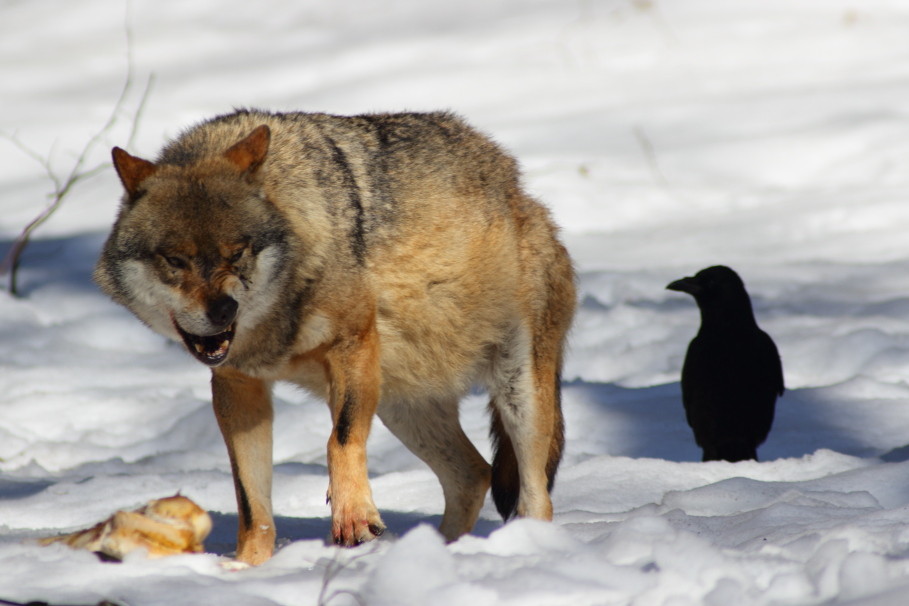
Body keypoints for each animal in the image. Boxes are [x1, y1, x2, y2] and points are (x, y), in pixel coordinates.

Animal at [95, 109, 576, 564]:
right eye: (175, 260)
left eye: (238, 253)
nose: (224, 309)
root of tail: (522, 194)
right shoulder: (237, 385)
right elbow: (253, 505)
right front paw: (247, 568)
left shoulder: (353, 344)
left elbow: (339, 440)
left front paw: (353, 517)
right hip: (403, 409)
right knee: (474, 474)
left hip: (518, 396)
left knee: (535, 496)